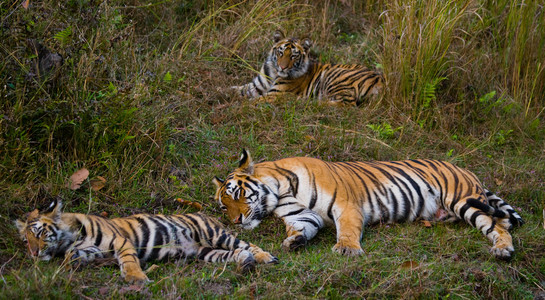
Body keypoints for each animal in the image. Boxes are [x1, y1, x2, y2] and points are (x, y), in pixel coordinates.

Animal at [14, 200, 278, 282]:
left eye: (38, 233)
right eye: (26, 241)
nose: (34, 254)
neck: (69, 239)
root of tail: (208, 214)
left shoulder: (120, 242)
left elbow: (129, 261)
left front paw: (136, 278)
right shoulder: (92, 250)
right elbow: (74, 256)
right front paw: (75, 262)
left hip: (213, 234)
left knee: (245, 245)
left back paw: (265, 257)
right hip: (206, 253)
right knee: (233, 254)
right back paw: (245, 263)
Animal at [212, 150, 524, 260]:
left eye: (236, 195)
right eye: (223, 206)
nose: (236, 221)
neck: (281, 190)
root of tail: (466, 169)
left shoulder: (346, 205)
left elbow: (347, 229)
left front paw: (347, 249)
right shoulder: (302, 216)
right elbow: (303, 228)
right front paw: (294, 242)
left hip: (462, 201)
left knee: (496, 225)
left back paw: (503, 250)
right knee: (500, 221)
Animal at [231, 31, 382, 106]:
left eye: (293, 56)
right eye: (280, 52)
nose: (282, 67)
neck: (274, 73)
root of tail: (380, 78)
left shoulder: (275, 94)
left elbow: (253, 101)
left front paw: (236, 106)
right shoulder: (255, 86)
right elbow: (235, 90)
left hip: (335, 78)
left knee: (346, 105)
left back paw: (306, 102)